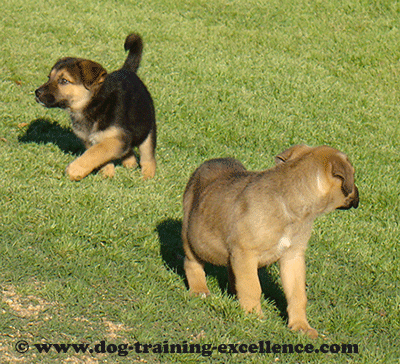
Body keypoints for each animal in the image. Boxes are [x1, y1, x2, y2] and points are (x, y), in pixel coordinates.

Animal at [35, 33, 156, 181]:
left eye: (64, 81)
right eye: (49, 77)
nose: (37, 93)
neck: (94, 105)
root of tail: (127, 71)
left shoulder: (117, 138)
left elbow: (96, 152)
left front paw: (74, 170)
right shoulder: (90, 139)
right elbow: (99, 155)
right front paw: (107, 174)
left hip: (147, 128)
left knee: (148, 157)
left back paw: (147, 176)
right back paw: (130, 164)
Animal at [181, 145, 360, 338]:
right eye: (353, 174)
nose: (358, 195)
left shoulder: (292, 257)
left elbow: (297, 295)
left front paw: (301, 325)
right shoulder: (246, 254)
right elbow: (252, 288)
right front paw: (254, 317)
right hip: (191, 239)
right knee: (192, 263)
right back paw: (199, 290)